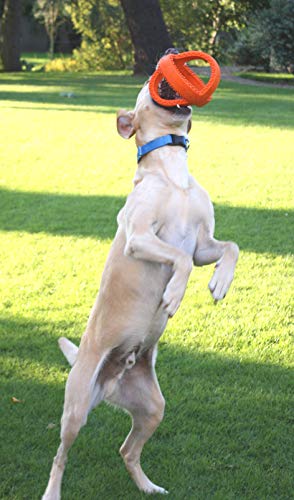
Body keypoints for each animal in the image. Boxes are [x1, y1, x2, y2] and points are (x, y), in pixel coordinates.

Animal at [42, 72, 239, 498]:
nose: (163, 58)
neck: (172, 176)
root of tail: (115, 377)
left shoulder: (204, 243)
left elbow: (229, 247)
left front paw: (220, 282)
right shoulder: (141, 238)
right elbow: (178, 259)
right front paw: (174, 296)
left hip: (152, 408)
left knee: (127, 450)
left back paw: (148, 486)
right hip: (76, 409)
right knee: (60, 455)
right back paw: (52, 492)